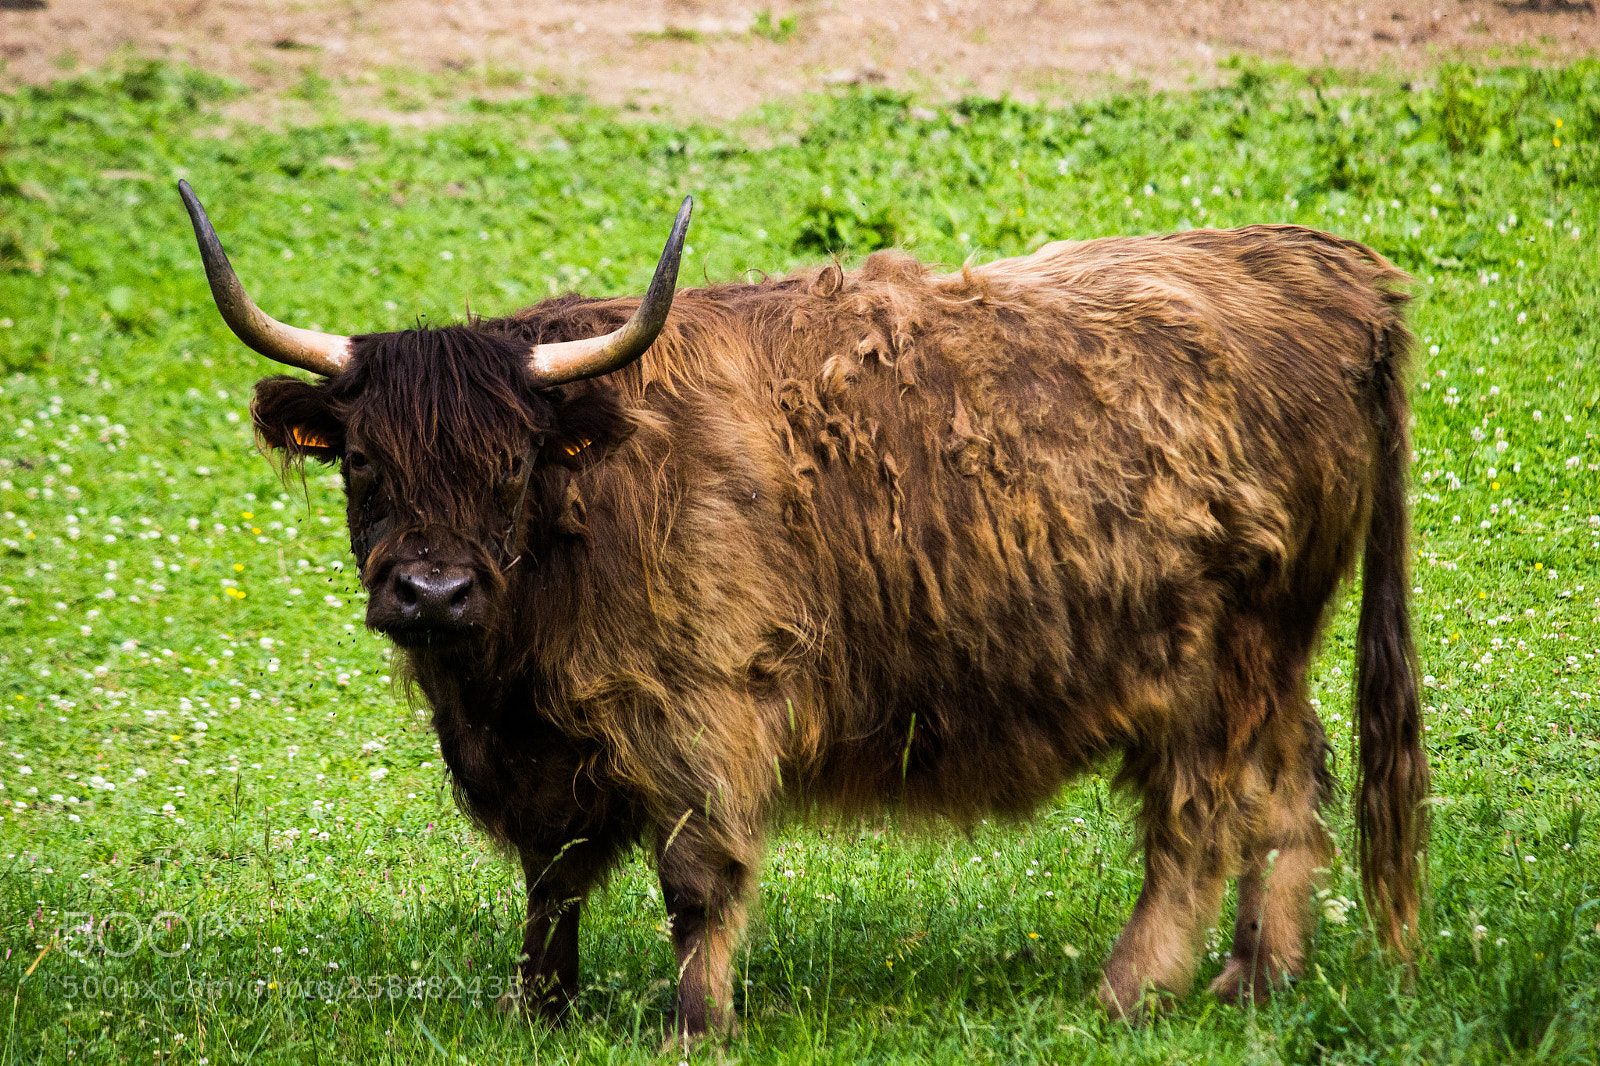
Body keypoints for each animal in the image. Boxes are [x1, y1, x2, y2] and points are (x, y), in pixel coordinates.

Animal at [178, 180, 1428, 1038]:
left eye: (513, 465)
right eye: (363, 464)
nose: (433, 590)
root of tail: (1331, 274)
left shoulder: (703, 705)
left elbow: (696, 874)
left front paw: (695, 1023)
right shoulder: (539, 752)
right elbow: (553, 872)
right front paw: (540, 1006)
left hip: (1215, 660)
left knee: (1201, 814)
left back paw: (1129, 990)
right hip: (1273, 654)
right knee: (1292, 786)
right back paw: (1255, 977)